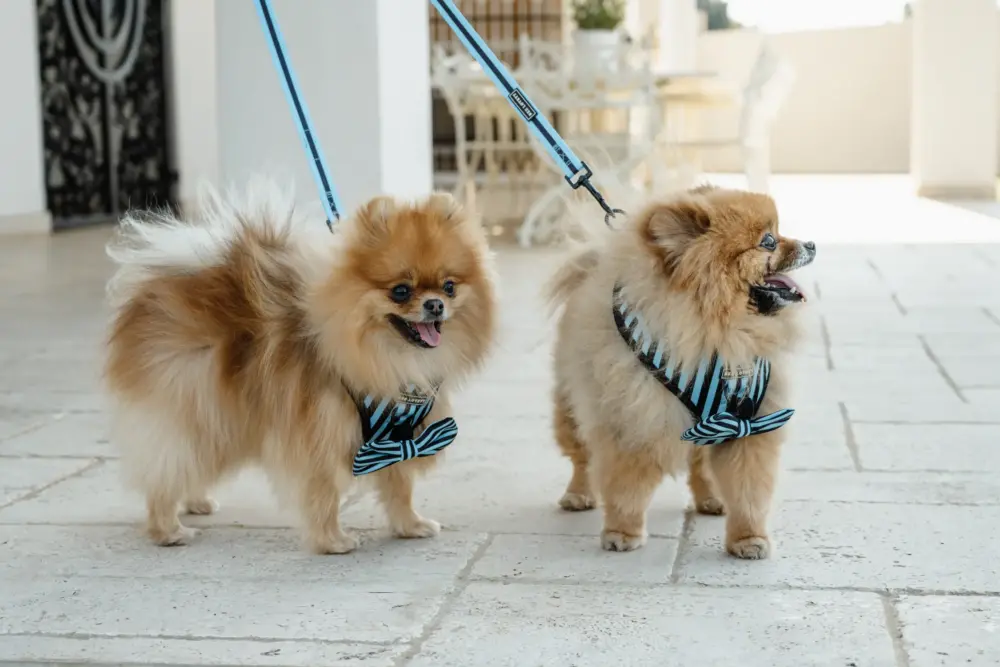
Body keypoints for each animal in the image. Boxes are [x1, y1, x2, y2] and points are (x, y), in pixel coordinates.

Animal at [103, 183, 498, 552]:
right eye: (400, 291)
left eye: (449, 286)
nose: (435, 304)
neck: (389, 359)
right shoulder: (320, 432)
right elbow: (324, 493)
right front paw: (332, 541)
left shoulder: (399, 436)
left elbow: (399, 483)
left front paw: (410, 525)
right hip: (196, 409)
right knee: (168, 468)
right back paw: (167, 529)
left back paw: (194, 502)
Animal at [552, 185, 816, 560]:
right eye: (768, 241)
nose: (811, 244)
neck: (720, 333)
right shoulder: (633, 421)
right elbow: (626, 487)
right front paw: (622, 532)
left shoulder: (748, 425)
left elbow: (749, 490)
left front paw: (749, 538)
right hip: (573, 404)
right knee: (581, 458)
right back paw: (578, 494)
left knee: (700, 465)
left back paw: (712, 499)